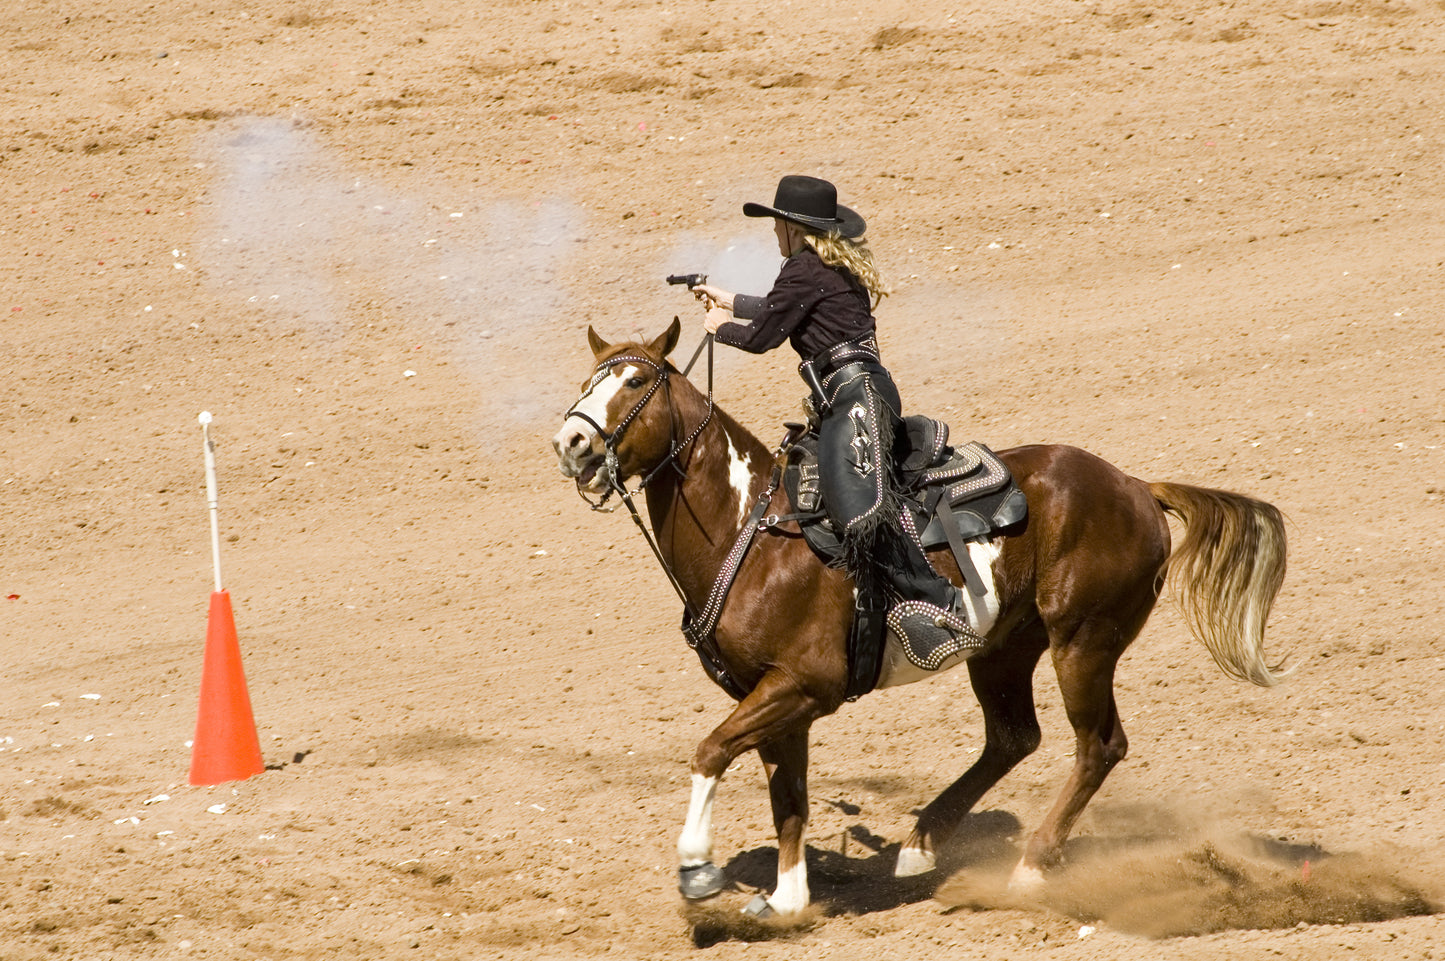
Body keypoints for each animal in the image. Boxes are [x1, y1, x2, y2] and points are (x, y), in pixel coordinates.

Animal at [551, 320, 1288, 913]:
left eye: (634, 381)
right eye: (586, 380)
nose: (571, 442)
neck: (753, 534)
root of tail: (1137, 487)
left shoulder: (802, 685)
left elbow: (710, 752)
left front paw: (698, 869)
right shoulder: (771, 697)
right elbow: (787, 796)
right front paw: (787, 900)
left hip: (1083, 640)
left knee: (1098, 746)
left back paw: (1028, 867)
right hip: (1003, 649)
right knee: (1013, 738)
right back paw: (922, 842)